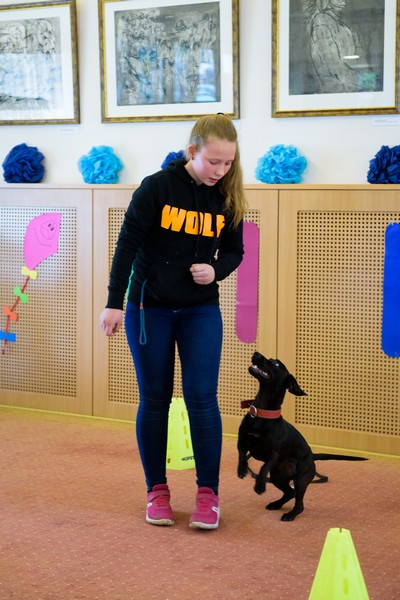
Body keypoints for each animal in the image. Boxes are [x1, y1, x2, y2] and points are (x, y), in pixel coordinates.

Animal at [237, 352, 367, 521]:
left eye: (276, 364)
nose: (256, 354)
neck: (261, 414)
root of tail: (312, 456)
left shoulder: (273, 454)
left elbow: (264, 467)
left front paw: (260, 484)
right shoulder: (242, 442)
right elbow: (242, 455)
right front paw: (242, 469)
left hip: (300, 480)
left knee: (299, 503)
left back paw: (290, 514)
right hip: (277, 476)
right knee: (289, 492)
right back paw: (276, 504)